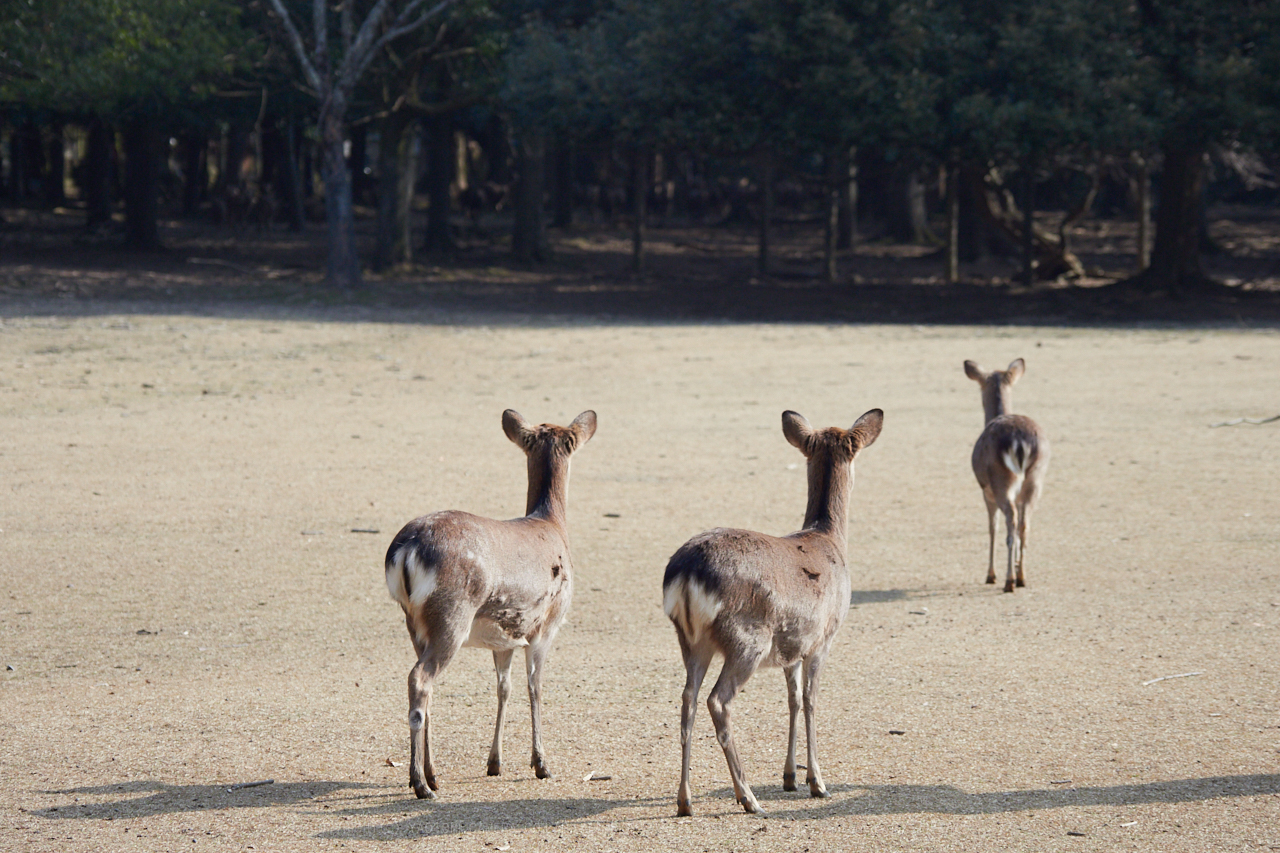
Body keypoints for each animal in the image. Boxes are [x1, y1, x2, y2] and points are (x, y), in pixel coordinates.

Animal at [381, 409, 596, 794]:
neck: (551, 523)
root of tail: (405, 551)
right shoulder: (546, 625)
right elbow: (535, 687)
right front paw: (542, 764)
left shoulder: (505, 637)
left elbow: (503, 688)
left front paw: (494, 763)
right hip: (451, 614)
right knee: (419, 679)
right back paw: (419, 783)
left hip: (415, 623)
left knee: (426, 686)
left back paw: (432, 775)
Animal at [660, 409, 880, 814]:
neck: (828, 538)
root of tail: (685, 574)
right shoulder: (823, 637)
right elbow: (810, 700)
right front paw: (817, 782)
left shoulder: (791, 646)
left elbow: (792, 700)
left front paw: (790, 777)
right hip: (746, 640)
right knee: (717, 700)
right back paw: (748, 797)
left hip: (691, 639)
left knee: (687, 700)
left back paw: (685, 801)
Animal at [962, 358, 1044, 591]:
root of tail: (1020, 442)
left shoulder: (985, 491)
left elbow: (992, 527)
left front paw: (990, 575)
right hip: (1035, 479)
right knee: (1024, 525)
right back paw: (1021, 577)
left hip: (1000, 480)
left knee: (1010, 521)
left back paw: (1009, 581)